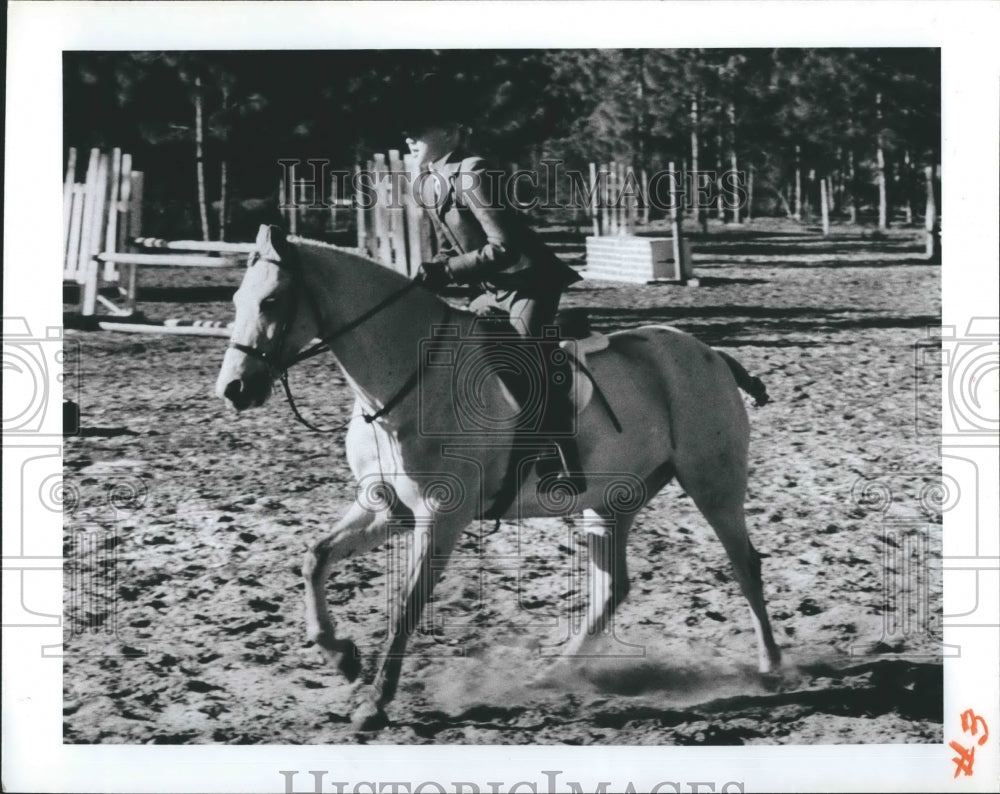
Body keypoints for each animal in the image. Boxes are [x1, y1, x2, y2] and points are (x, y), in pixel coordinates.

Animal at [216, 224, 782, 730]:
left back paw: (771, 667)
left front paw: (374, 703)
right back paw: (554, 673)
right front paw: (341, 657)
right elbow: (315, 558)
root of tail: (709, 354)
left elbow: (407, 605)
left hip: (712, 485)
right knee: (612, 587)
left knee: (745, 566)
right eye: (237, 300)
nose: (234, 390)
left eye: (271, 302)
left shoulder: (441, 517)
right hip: (610, 500)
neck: (407, 380)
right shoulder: (386, 505)